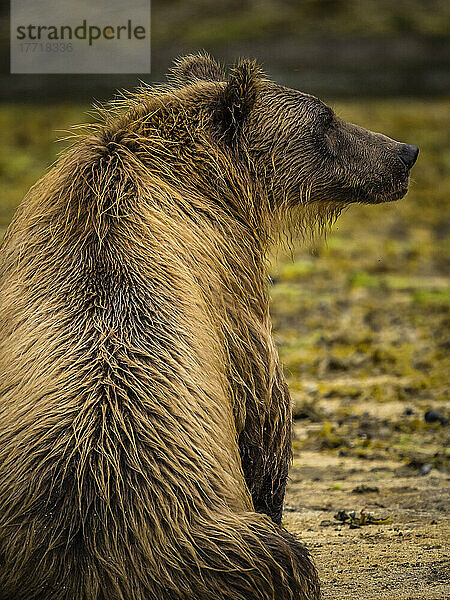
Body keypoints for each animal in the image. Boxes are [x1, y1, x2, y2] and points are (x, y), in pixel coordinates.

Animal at [0, 52, 416, 600]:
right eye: (325, 119)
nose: (405, 153)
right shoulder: (230, 286)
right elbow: (265, 410)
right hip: (214, 548)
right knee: (282, 555)